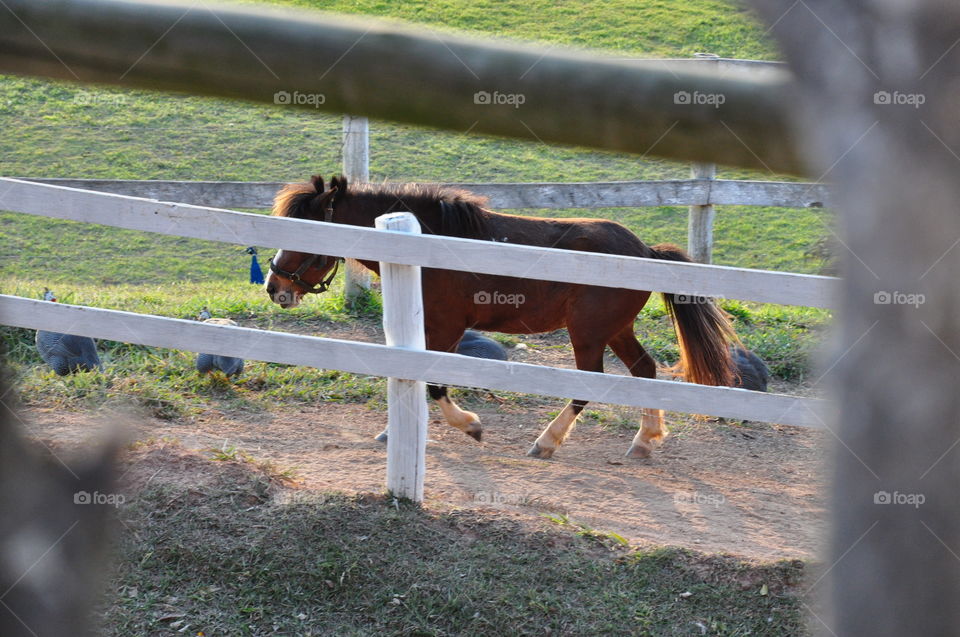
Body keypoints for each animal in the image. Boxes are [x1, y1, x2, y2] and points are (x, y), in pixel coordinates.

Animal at [266, 174, 740, 458]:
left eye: (305, 231)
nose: (274, 287)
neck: (426, 243)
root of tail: (645, 251)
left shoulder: (447, 326)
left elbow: (435, 383)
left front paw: (470, 426)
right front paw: (392, 431)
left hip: (588, 333)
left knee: (590, 383)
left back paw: (546, 442)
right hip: (615, 329)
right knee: (645, 370)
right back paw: (644, 441)